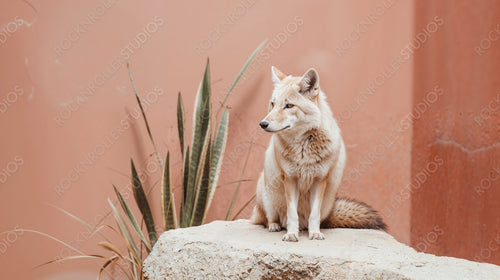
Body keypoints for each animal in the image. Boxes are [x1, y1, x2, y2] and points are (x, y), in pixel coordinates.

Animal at [250, 66, 386, 242]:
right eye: (272, 104)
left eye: (289, 105)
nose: (263, 123)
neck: (303, 150)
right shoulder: (290, 180)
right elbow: (292, 214)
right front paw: (291, 234)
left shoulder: (319, 180)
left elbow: (314, 215)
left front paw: (314, 233)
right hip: (268, 197)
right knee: (268, 219)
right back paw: (275, 226)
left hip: (326, 205)